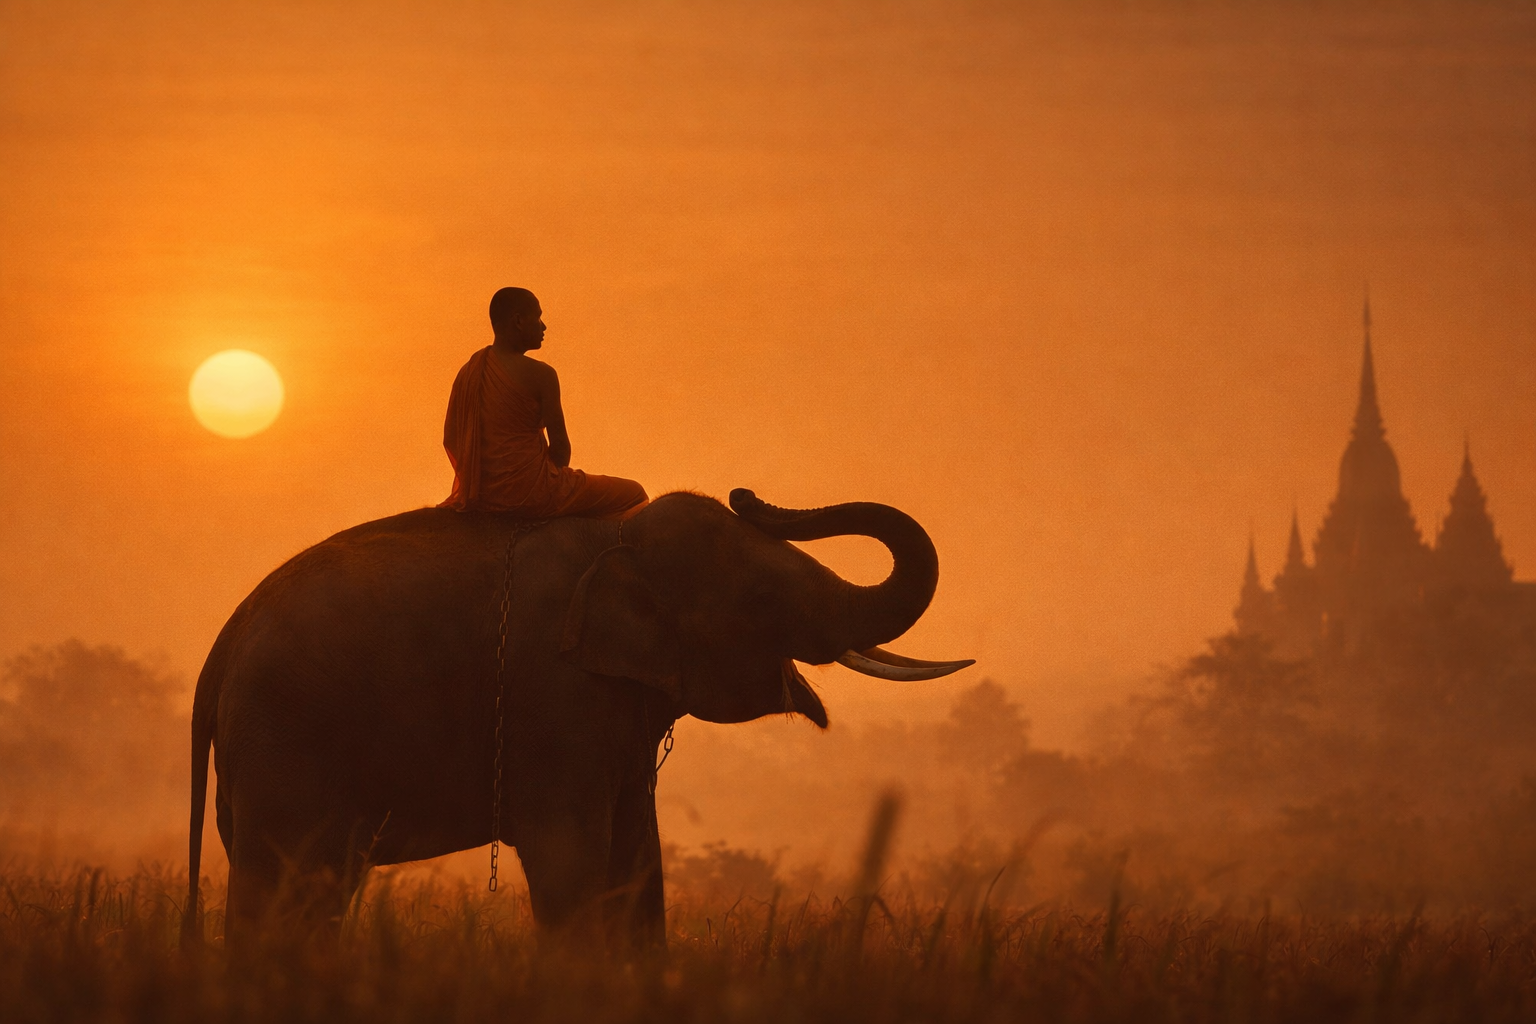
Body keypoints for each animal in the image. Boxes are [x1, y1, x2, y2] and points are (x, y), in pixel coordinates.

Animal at [182, 488, 973, 949]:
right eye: (761, 599)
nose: (747, 493)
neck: (615, 537)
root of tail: (222, 645)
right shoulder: (553, 693)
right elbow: (569, 855)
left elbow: (636, 855)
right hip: (284, 738)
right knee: (282, 888)